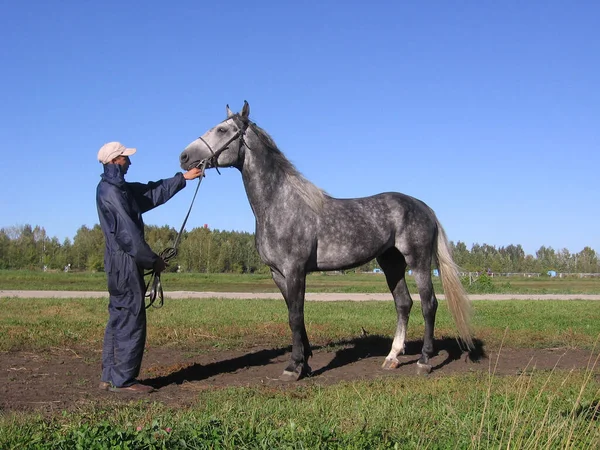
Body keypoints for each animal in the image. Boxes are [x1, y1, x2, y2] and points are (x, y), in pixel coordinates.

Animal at [180, 101, 472, 380]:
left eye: (221, 130)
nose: (184, 157)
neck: (280, 204)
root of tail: (423, 207)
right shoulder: (278, 274)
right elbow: (295, 317)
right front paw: (305, 364)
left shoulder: (295, 270)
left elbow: (295, 316)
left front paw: (293, 368)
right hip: (391, 263)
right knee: (404, 303)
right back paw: (392, 358)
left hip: (418, 261)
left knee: (428, 304)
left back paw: (424, 361)